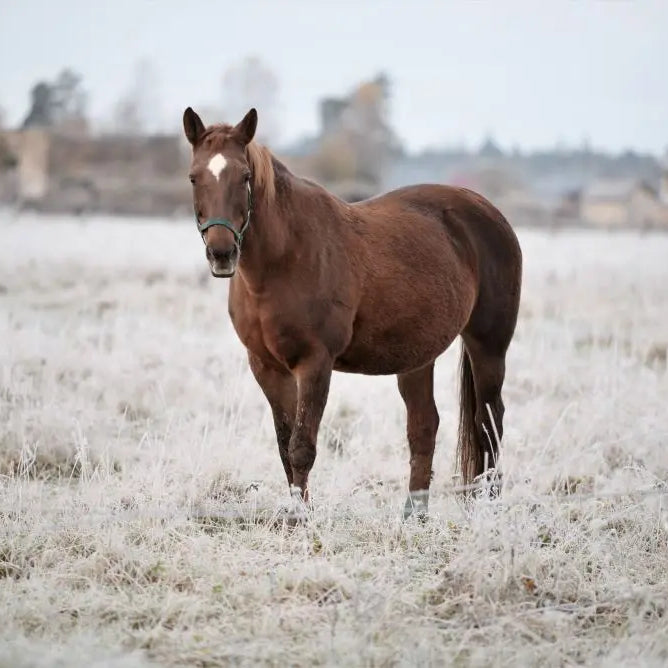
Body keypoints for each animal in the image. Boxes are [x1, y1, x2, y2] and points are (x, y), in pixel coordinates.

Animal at [181, 107, 520, 520]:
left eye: (244, 176)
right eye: (194, 176)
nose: (222, 253)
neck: (285, 257)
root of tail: (489, 213)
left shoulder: (315, 363)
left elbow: (301, 447)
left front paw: (300, 520)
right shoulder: (266, 366)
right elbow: (284, 444)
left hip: (488, 345)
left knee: (488, 421)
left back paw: (488, 506)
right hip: (417, 357)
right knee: (424, 425)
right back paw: (414, 515)